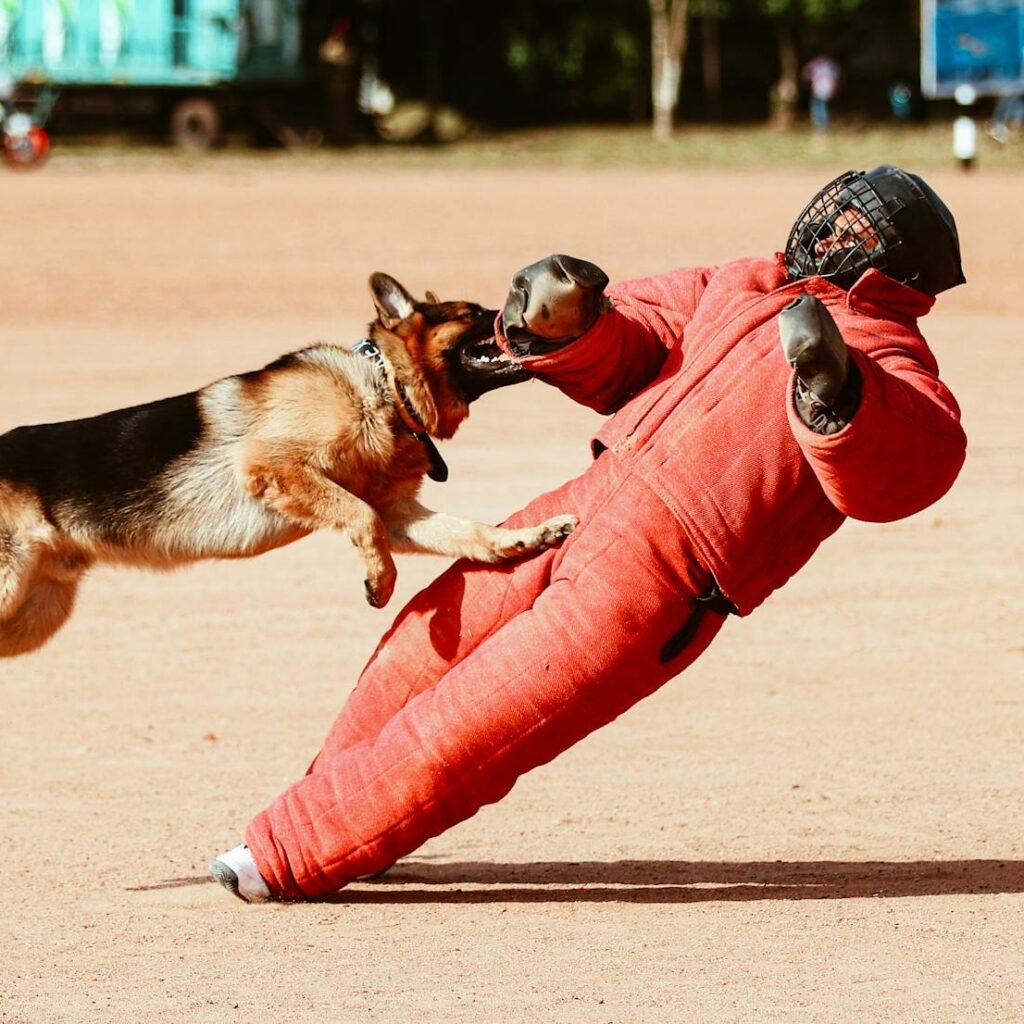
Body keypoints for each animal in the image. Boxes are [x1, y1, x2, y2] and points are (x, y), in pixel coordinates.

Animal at [0, 272, 577, 655]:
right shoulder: (278, 469)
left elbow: (468, 531)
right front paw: (381, 582)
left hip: (34, 615)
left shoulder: (398, 514)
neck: (381, 388)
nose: (519, 316)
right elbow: (363, 521)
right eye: (472, 313)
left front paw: (526, 539)